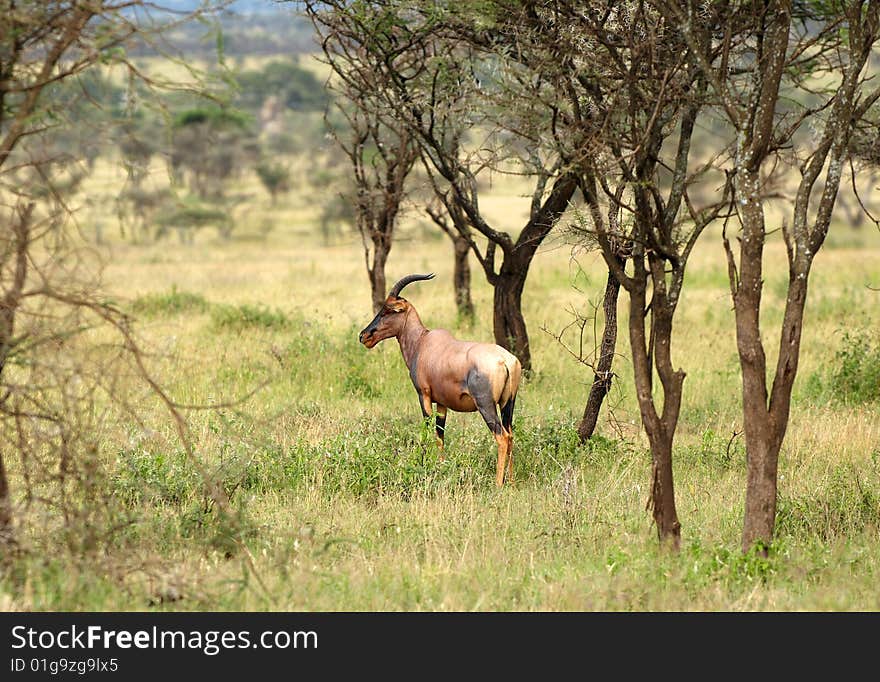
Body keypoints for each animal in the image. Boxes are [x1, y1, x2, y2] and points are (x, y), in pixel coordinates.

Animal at [360, 270, 524, 484]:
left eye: (387, 311)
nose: (364, 336)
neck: (422, 342)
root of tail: (506, 361)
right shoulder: (442, 403)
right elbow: (440, 435)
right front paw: (441, 466)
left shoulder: (424, 395)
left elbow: (426, 430)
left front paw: (422, 464)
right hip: (508, 404)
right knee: (510, 434)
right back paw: (511, 481)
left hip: (486, 405)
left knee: (502, 437)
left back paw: (498, 483)